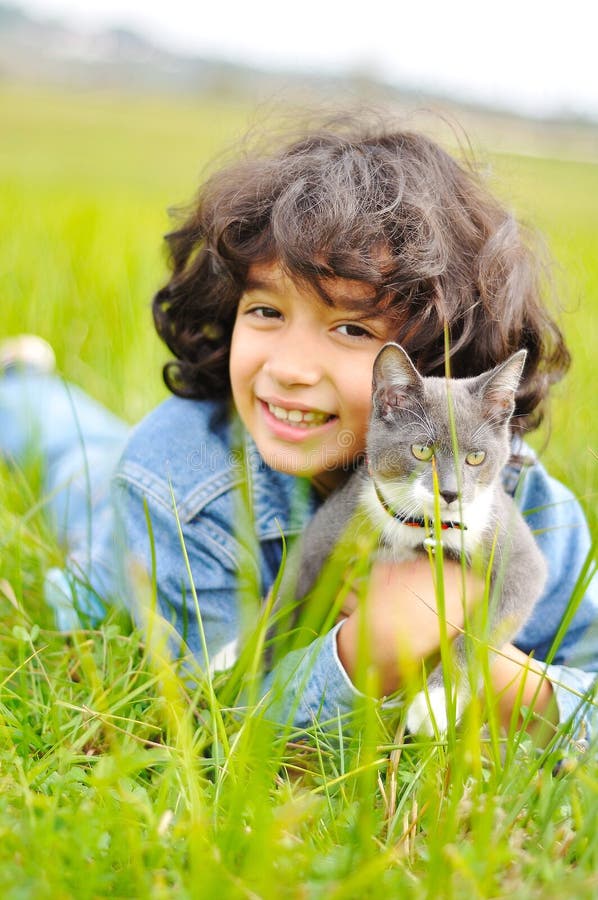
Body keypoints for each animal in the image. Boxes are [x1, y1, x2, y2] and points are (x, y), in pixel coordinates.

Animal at [286, 342, 548, 736]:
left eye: (476, 457)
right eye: (422, 451)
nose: (451, 493)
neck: (421, 528)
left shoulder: (517, 555)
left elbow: (483, 631)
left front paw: (434, 704)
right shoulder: (326, 531)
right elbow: (283, 610)